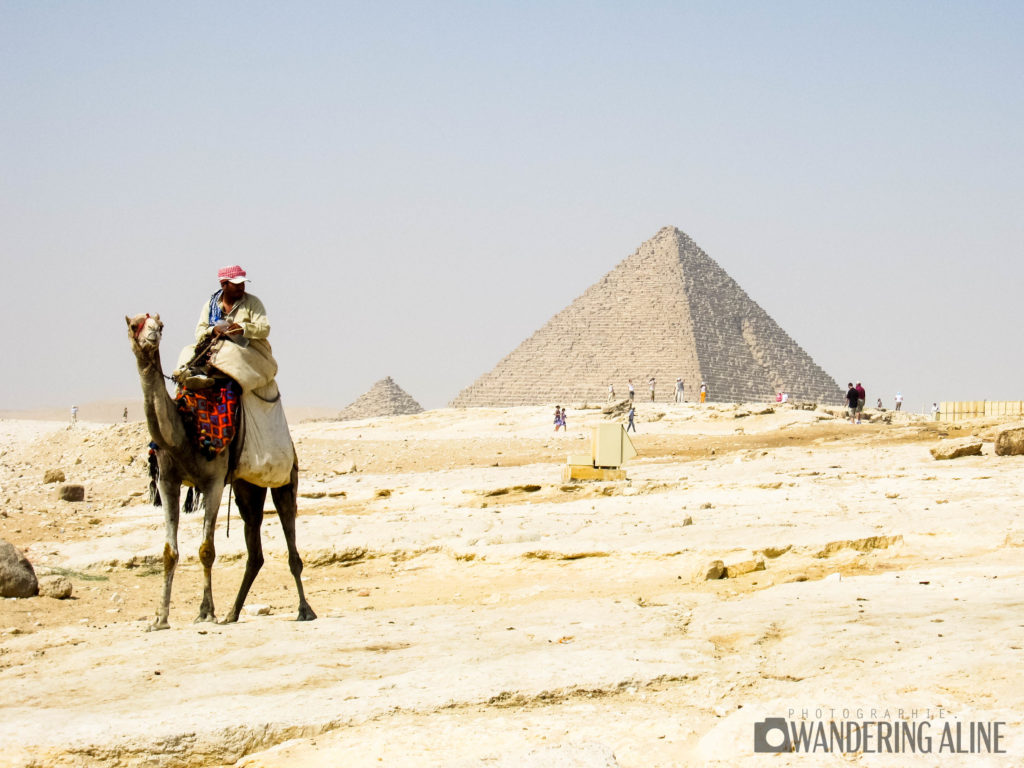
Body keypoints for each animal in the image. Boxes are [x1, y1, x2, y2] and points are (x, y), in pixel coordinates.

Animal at [126, 313, 316, 629]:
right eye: (134, 325)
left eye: (160, 326)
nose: (152, 335)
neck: (183, 433)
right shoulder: (167, 481)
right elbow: (168, 552)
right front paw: (160, 618)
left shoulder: (213, 482)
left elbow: (207, 550)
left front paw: (206, 612)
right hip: (247, 486)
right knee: (255, 549)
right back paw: (232, 613)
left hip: (285, 476)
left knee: (290, 534)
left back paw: (304, 610)